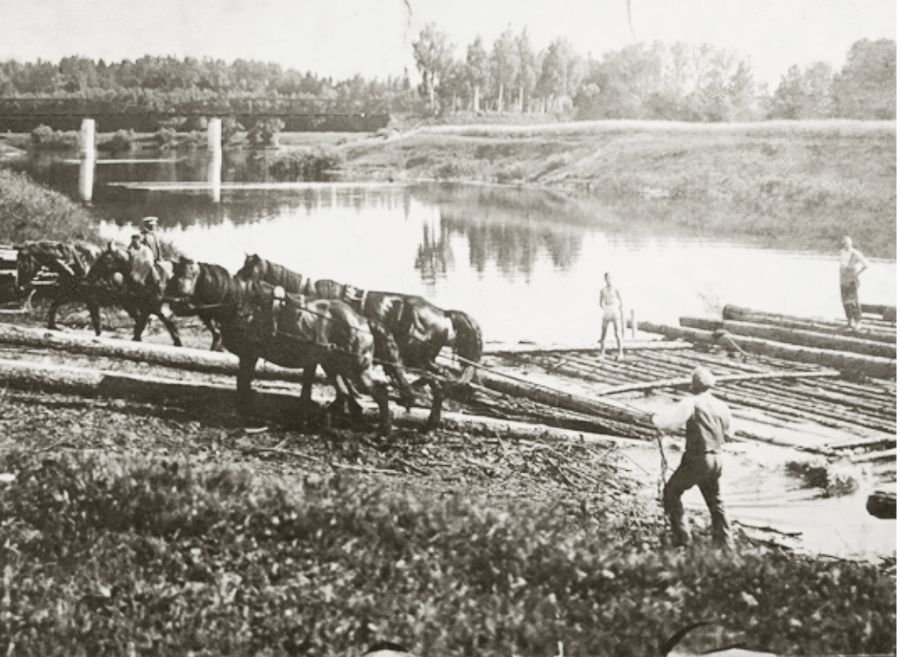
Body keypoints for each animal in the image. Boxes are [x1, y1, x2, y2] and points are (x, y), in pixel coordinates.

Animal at [166, 258, 442, 436]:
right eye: (171, 277)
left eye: (181, 278)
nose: (167, 301)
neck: (243, 302)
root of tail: (364, 321)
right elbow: (308, 391)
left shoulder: (249, 355)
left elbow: (244, 385)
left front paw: (241, 412)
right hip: (337, 365)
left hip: (357, 369)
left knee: (382, 392)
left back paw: (385, 429)